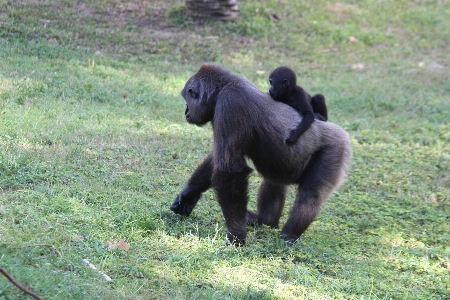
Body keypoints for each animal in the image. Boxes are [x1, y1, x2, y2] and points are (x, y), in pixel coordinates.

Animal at [171, 63, 350, 246]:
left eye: (187, 100)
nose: (186, 112)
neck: (224, 86)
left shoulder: (231, 103)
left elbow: (230, 170)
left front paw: (236, 234)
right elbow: (219, 159)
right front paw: (190, 194)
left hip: (337, 146)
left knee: (310, 196)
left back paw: (288, 236)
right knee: (275, 179)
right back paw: (264, 221)